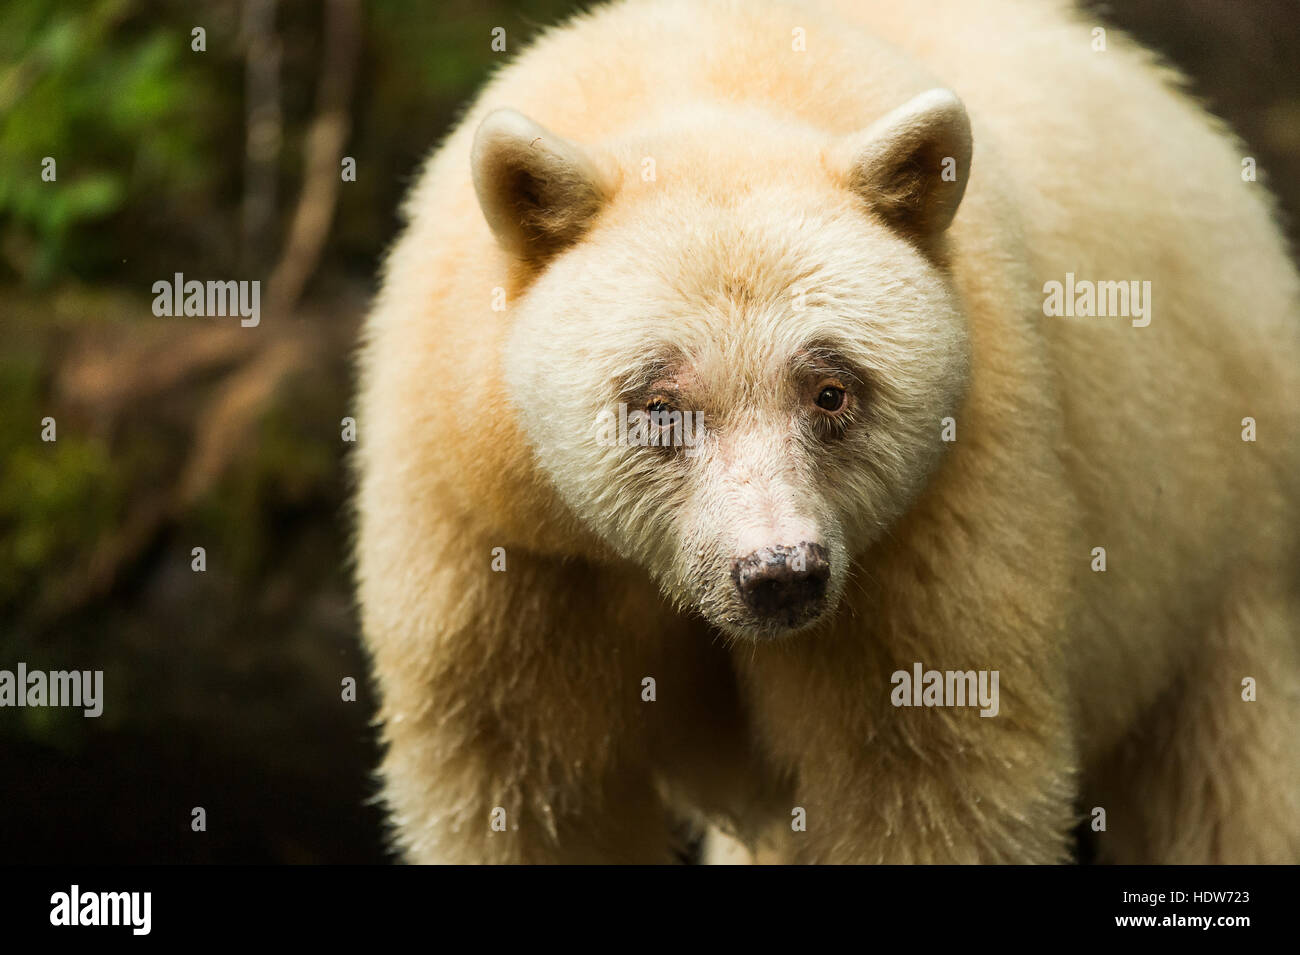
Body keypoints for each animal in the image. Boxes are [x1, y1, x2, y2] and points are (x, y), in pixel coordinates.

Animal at [353, 0, 1300, 867]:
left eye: (831, 391)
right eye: (660, 403)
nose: (779, 574)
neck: (706, 84)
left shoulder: (937, 516)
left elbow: (927, 773)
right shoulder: (497, 534)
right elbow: (526, 779)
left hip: (1226, 527)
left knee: (1228, 782)